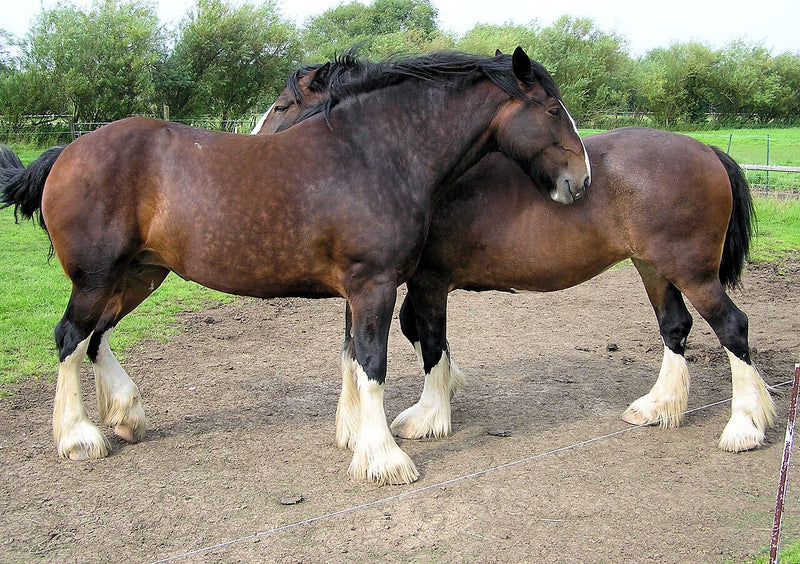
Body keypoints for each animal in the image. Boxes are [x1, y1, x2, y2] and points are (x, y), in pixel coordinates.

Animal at [0, 48, 590, 485]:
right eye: (552, 108)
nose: (579, 180)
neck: (377, 153)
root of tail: (67, 152)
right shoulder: (374, 285)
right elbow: (372, 365)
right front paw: (383, 459)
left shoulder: (359, 291)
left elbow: (351, 358)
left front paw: (353, 438)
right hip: (98, 277)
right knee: (69, 337)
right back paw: (78, 437)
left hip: (137, 275)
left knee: (95, 336)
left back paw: (124, 416)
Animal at [257, 54, 775, 453]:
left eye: (281, 106)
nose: (260, 156)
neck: (407, 162)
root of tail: (706, 150)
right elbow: (418, 332)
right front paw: (448, 388)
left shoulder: (428, 280)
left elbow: (428, 337)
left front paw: (429, 414)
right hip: (653, 267)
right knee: (675, 326)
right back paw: (657, 406)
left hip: (692, 271)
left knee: (732, 326)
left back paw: (744, 427)